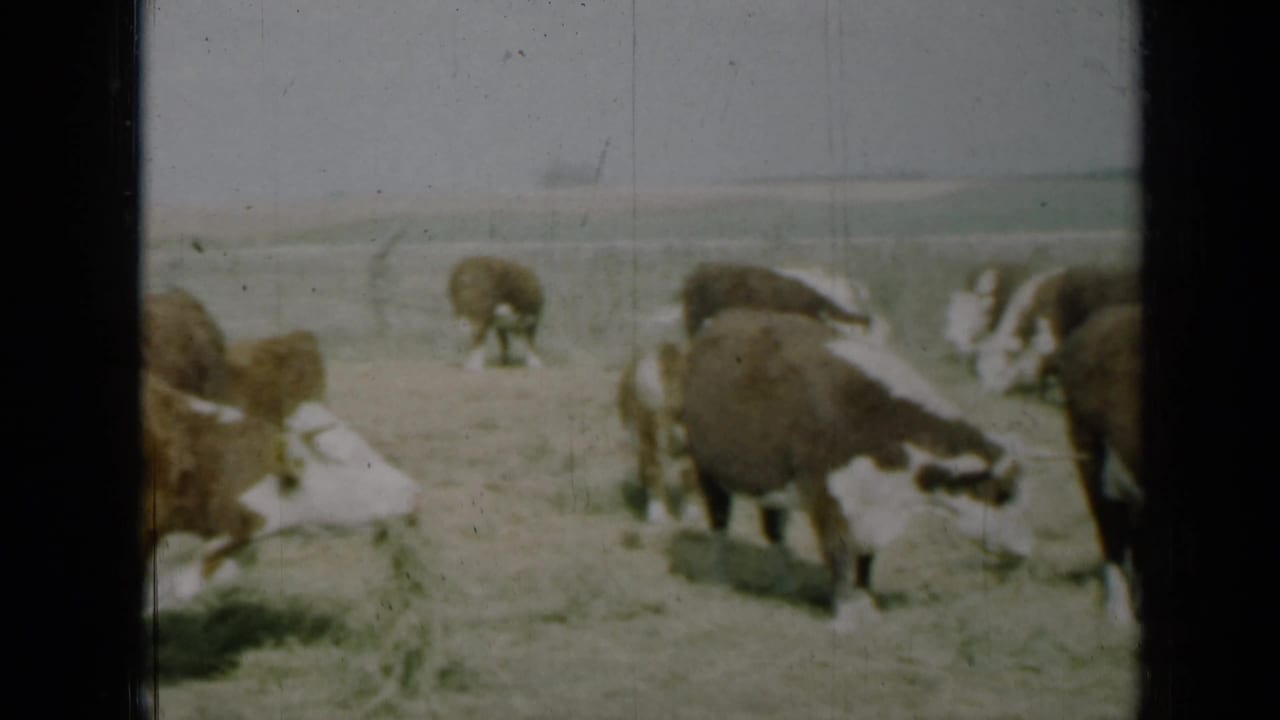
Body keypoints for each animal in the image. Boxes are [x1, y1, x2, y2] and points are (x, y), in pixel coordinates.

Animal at [616, 341, 700, 525]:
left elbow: (689, 474)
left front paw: (691, 515)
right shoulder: (648, 434)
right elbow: (654, 471)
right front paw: (659, 516)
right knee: (652, 469)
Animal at [680, 309, 1034, 634]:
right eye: (1003, 494)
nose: (1024, 551)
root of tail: (724, 319)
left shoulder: (873, 507)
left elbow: (866, 559)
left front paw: (867, 604)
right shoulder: (826, 497)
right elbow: (839, 552)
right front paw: (847, 615)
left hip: (771, 482)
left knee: (774, 529)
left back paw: (786, 583)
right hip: (707, 469)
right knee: (719, 522)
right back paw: (720, 578)